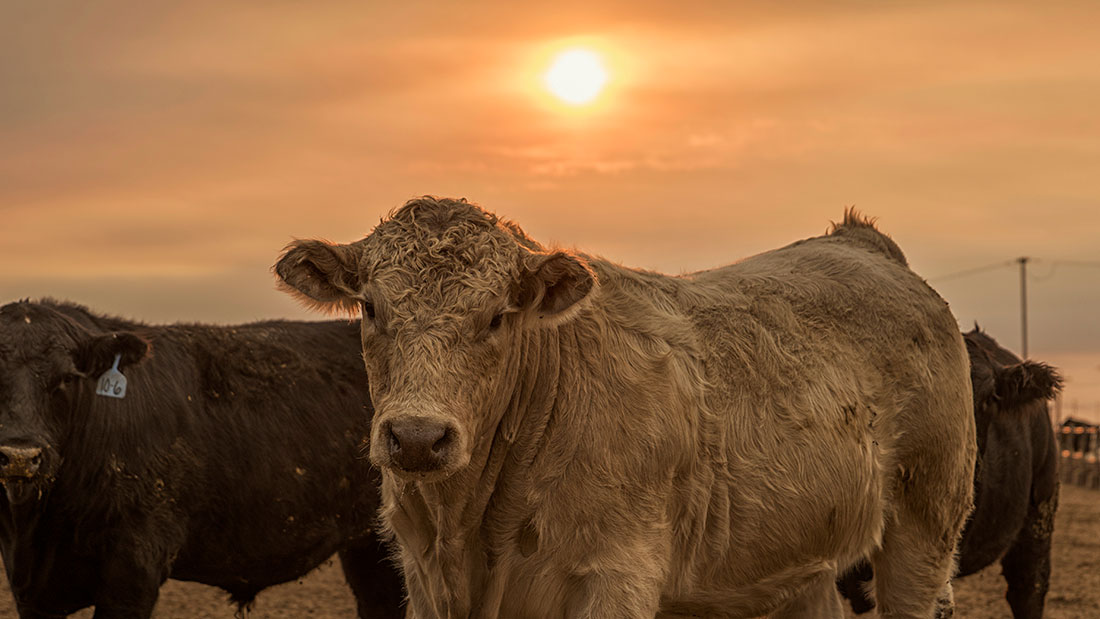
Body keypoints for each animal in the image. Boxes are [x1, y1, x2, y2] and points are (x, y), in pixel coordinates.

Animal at [272, 199, 972, 619]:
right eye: (369, 307)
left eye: (497, 316)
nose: (417, 437)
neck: (469, 529)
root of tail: (860, 242)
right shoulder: (421, 578)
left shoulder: (617, 572)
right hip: (796, 560)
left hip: (927, 522)